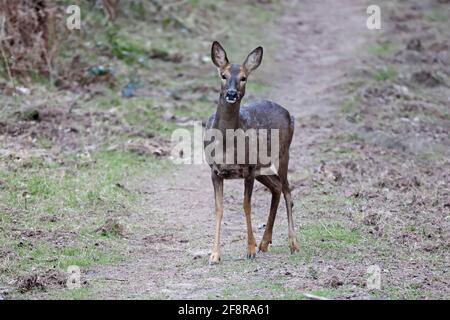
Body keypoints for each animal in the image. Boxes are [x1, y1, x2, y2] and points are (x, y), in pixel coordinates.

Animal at [204, 41, 298, 264]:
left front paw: (249, 249)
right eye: (223, 75)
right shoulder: (214, 171)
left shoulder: (247, 169)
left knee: (287, 191)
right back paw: (264, 242)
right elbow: (219, 209)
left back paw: (292, 243)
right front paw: (214, 254)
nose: (231, 94)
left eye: (243, 78)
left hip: (283, 155)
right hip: (262, 168)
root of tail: (289, 114)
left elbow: (246, 206)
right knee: (277, 187)